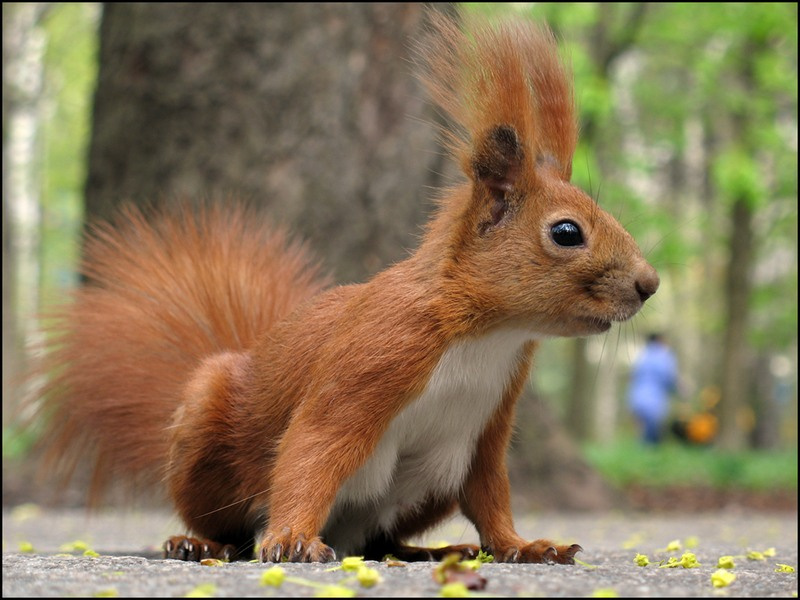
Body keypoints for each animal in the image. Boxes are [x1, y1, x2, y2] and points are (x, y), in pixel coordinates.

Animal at [32, 11, 659, 564]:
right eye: (567, 232)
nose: (649, 284)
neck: (486, 335)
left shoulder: (489, 422)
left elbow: (490, 494)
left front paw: (523, 546)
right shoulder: (374, 354)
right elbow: (313, 448)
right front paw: (291, 539)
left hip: (425, 488)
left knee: (380, 539)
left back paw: (431, 549)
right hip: (205, 429)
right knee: (225, 521)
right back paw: (199, 543)